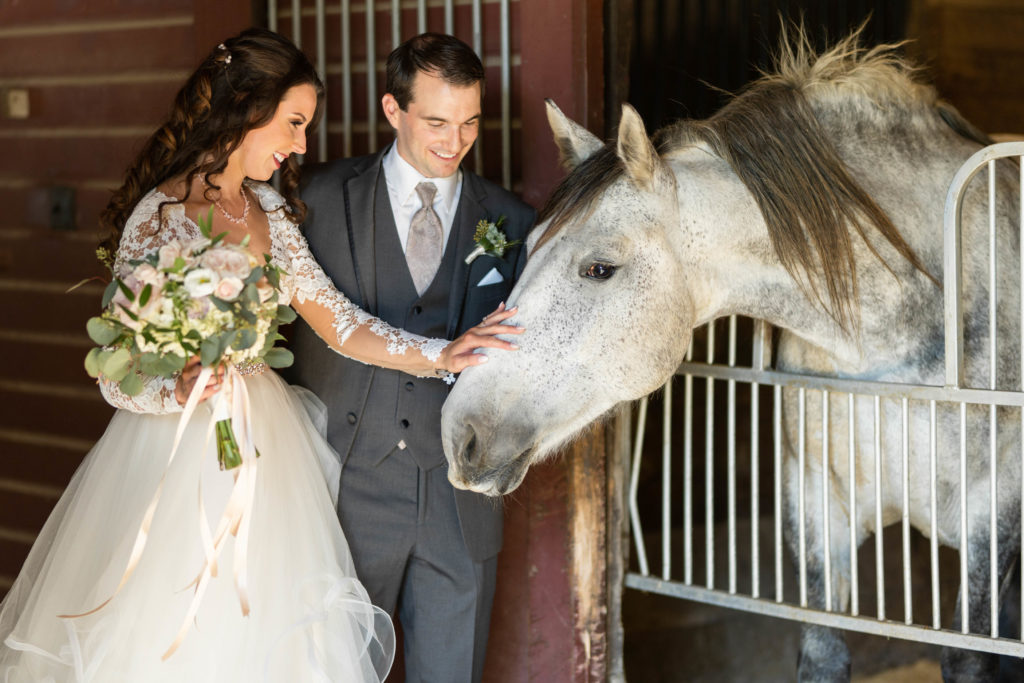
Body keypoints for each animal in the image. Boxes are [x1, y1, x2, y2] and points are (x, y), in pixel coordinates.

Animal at [442, 29, 1024, 679]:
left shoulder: (992, 518)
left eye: (599, 268)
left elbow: (970, 658)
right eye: (529, 248)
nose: (460, 433)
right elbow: (822, 653)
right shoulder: (816, 504)